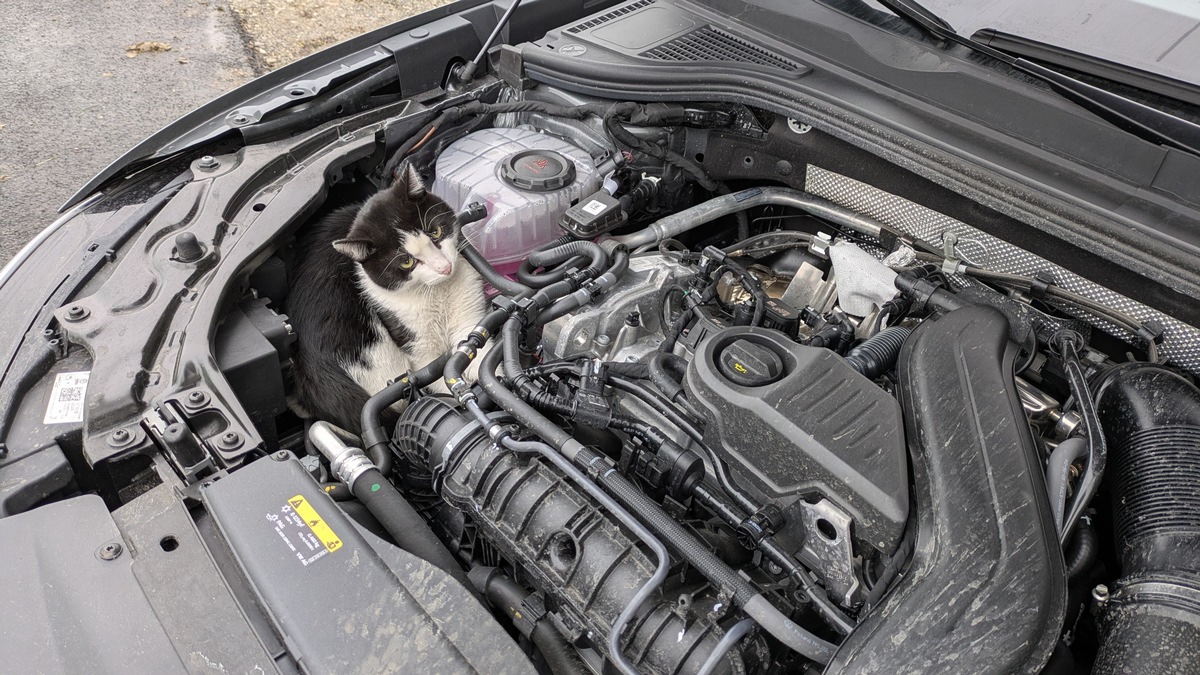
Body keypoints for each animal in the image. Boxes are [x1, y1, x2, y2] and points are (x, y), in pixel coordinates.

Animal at [285, 165, 487, 432]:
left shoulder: (468, 312)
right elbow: (434, 373)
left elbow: (472, 346)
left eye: (436, 232)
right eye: (406, 261)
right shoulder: (411, 337)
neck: (436, 293)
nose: (444, 267)